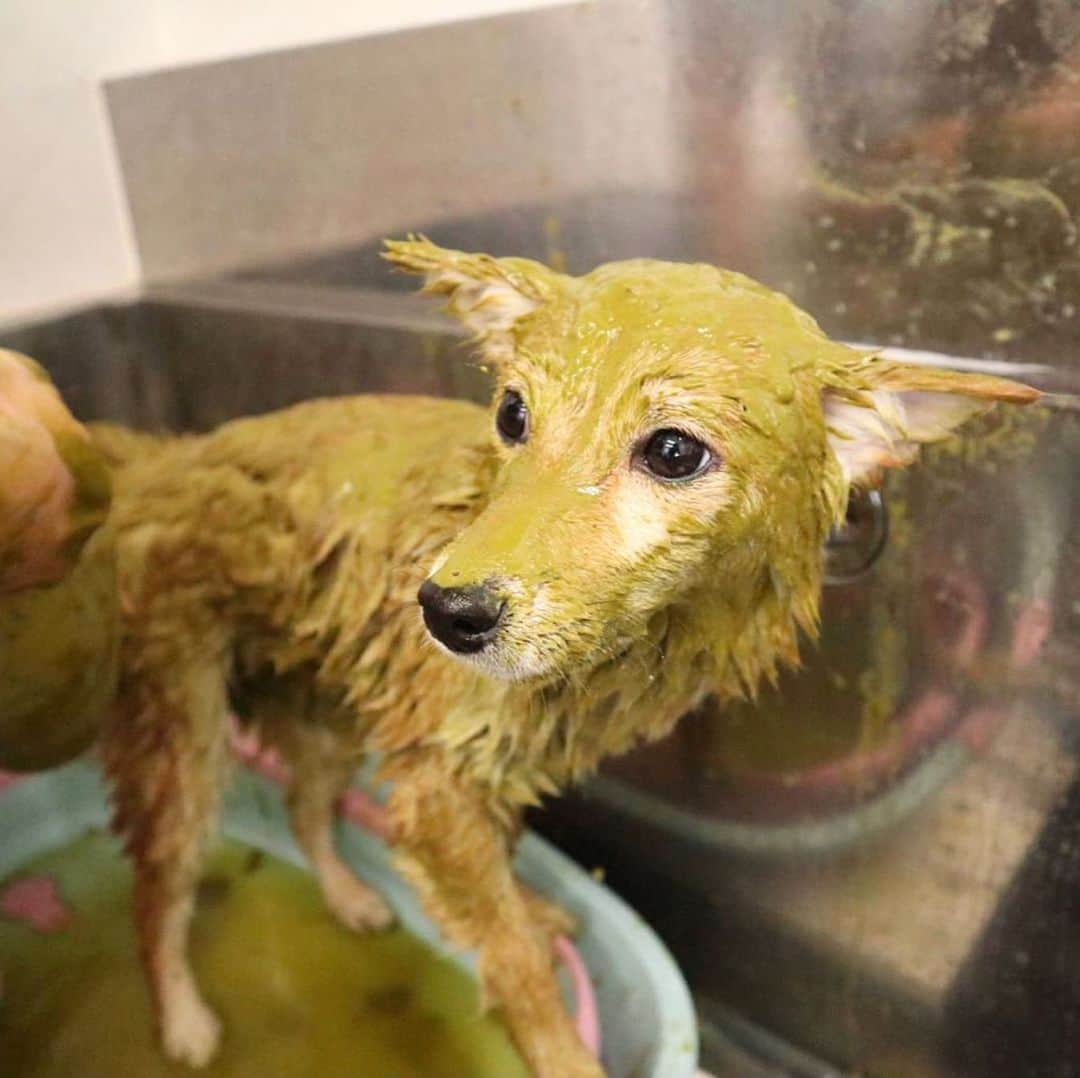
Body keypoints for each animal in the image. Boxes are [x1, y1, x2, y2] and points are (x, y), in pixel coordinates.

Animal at [86, 240, 1036, 1075]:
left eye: (673, 450)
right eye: (512, 414)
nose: (446, 612)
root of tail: (170, 458)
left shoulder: (493, 765)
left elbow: (503, 872)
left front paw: (529, 908)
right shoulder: (440, 782)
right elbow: (512, 962)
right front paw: (559, 1046)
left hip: (326, 711)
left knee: (304, 807)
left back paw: (350, 897)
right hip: (185, 732)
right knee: (157, 892)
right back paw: (183, 1018)